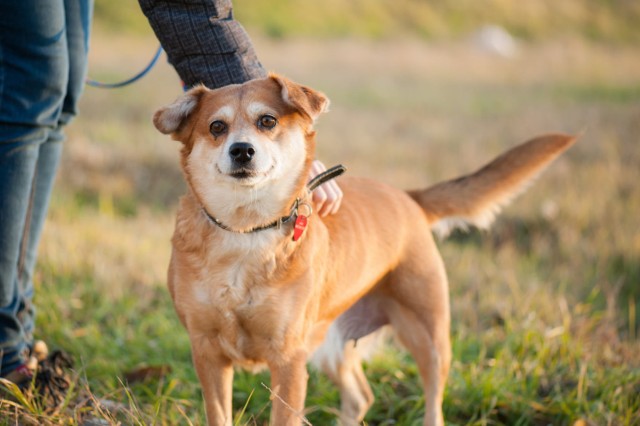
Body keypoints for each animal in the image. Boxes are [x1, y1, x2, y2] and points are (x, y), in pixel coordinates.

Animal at [152, 75, 576, 424]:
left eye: (267, 121)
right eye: (217, 127)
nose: (241, 151)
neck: (246, 230)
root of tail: (408, 198)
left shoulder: (288, 360)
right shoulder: (207, 353)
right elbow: (218, 413)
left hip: (429, 338)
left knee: (432, 402)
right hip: (330, 346)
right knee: (360, 397)